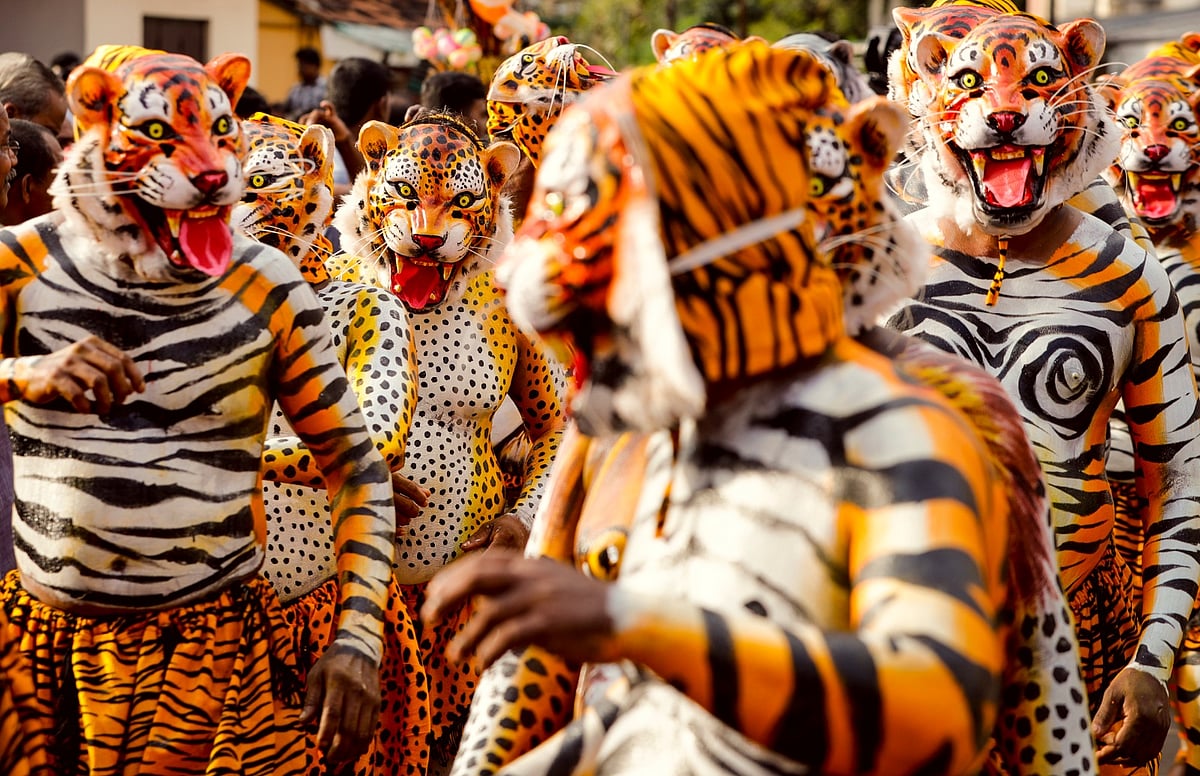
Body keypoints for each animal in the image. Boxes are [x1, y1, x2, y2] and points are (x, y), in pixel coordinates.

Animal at [887, 12, 1200, 771]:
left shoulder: (1151, 290)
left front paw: (1142, 695)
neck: (1002, 251)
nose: (1003, 116)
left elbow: (1174, 465)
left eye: (1040, 76)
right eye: (967, 79)